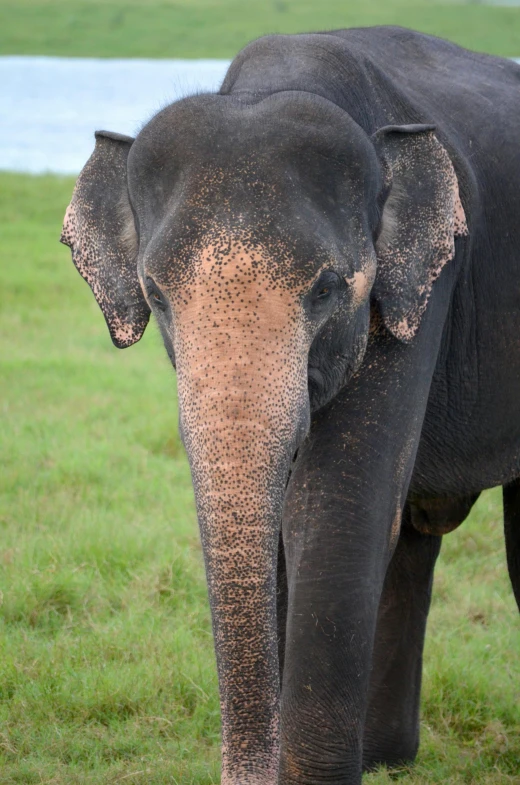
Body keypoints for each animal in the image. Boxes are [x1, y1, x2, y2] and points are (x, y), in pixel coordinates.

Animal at [62, 26, 520, 784]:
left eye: (328, 288)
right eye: (156, 294)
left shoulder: (423, 286)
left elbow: (337, 508)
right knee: (412, 539)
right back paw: (386, 758)